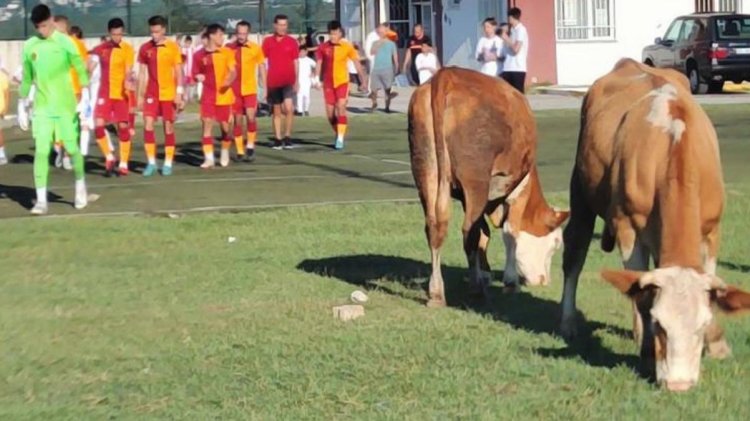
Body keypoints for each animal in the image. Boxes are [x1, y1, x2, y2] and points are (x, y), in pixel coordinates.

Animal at [412, 67, 568, 306]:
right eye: (556, 243)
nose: (544, 281)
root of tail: (447, 75)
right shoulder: (518, 189)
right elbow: (510, 233)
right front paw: (510, 282)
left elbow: (484, 232)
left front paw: (485, 273)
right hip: (476, 180)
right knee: (468, 231)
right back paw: (475, 289)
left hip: (426, 168)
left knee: (436, 227)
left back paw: (437, 292)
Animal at [560, 58, 750, 390]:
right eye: (661, 324)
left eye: (701, 326)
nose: (679, 385)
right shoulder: (627, 227)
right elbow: (640, 293)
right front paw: (648, 348)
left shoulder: (712, 229)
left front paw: (717, 344)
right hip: (580, 190)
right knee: (575, 254)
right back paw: (570, 320)